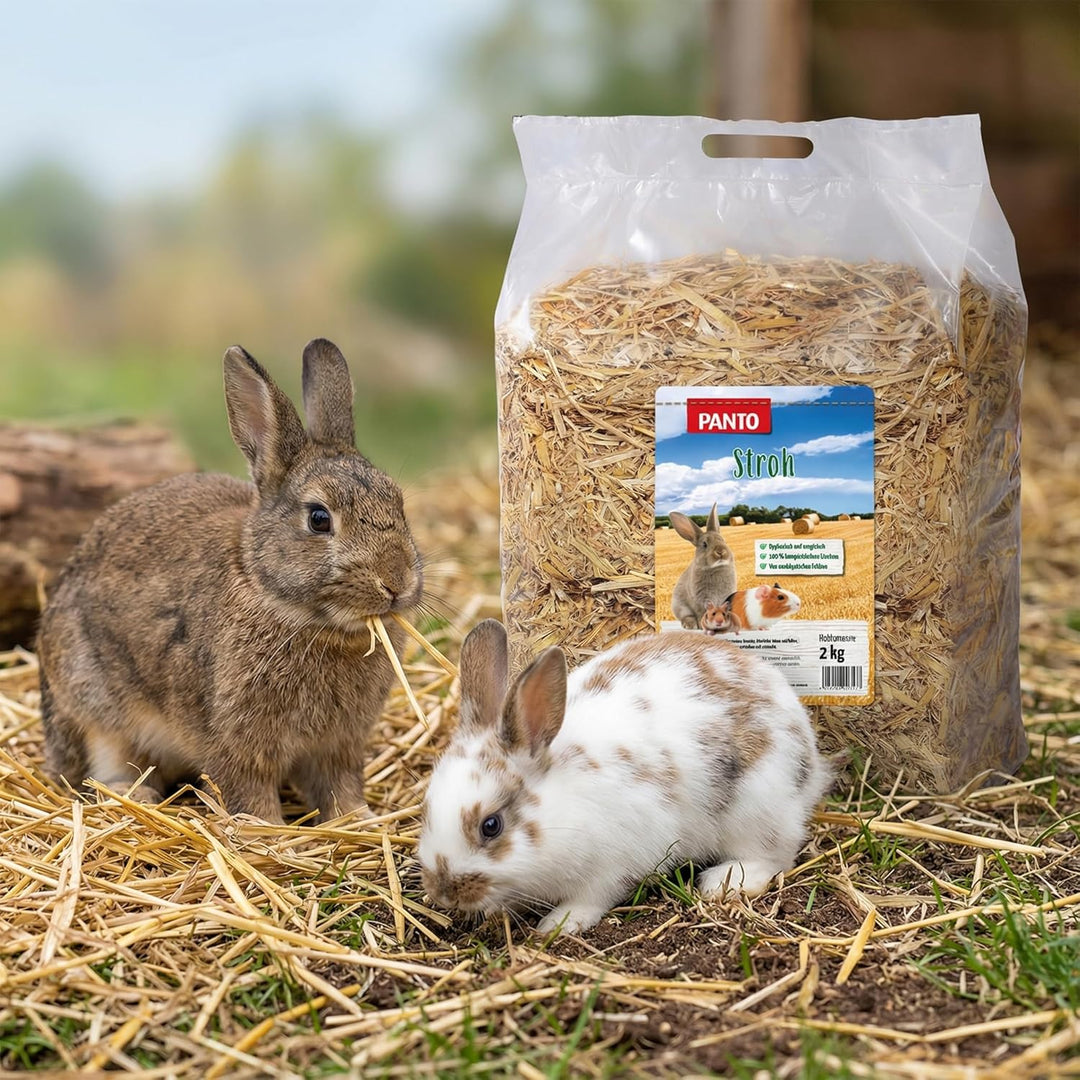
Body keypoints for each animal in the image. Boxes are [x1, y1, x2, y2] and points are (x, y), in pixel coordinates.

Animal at [37, 339, 423, 824]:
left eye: (399, 504)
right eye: (319, 519)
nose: (396, 582)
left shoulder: (338, 746)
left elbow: (340, 788)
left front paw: (359, 819)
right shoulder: (232, 738)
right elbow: (248, 790)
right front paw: (267, 829)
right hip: (92, 704)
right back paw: (135, 795)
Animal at [418, 619, 833, 936]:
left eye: (491, 826)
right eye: (427, 810)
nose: (442, 892)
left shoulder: (615, 863)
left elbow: (593, 897)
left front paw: (559, 924)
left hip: (758, 808)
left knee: (775, 856)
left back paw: (723, 882)